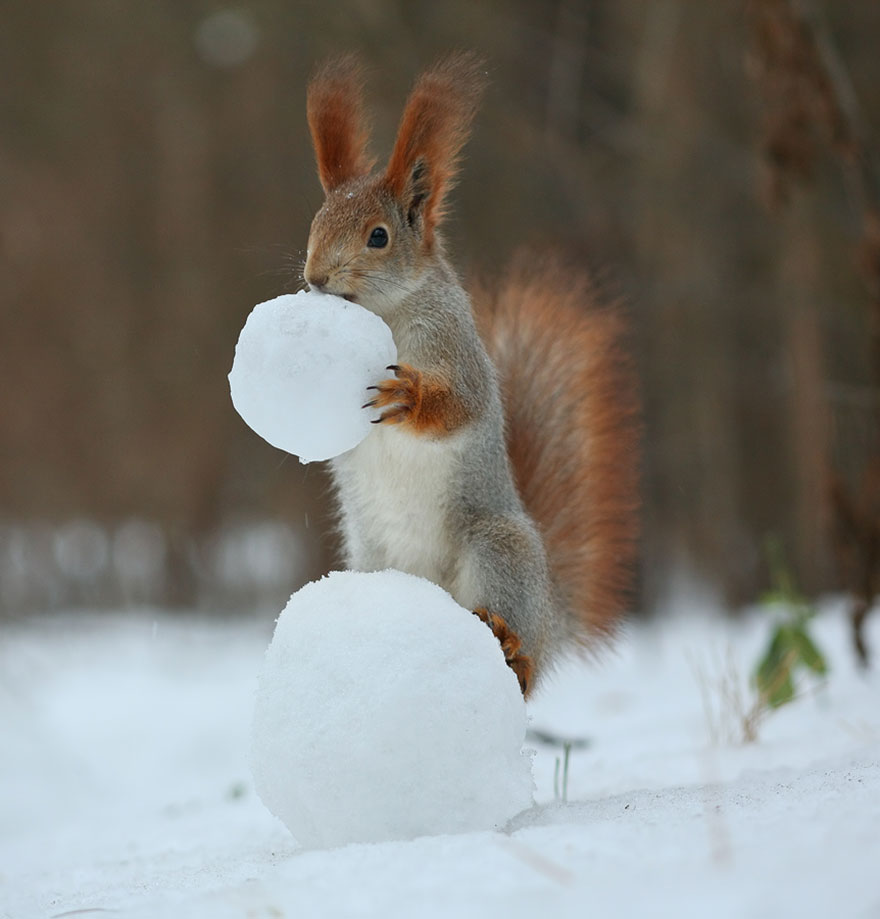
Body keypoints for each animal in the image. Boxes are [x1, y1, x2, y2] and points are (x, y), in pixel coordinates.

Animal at [302, 53, 639, 696]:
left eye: (378, 236)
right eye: (314, 221)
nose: (314, 279)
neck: (387, 313)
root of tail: (551, 615)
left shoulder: (455, 346)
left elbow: (462, 404)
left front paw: (409, 397)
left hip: (498, 550)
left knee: (520, 656)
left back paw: (514, 651)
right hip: (371, 557)